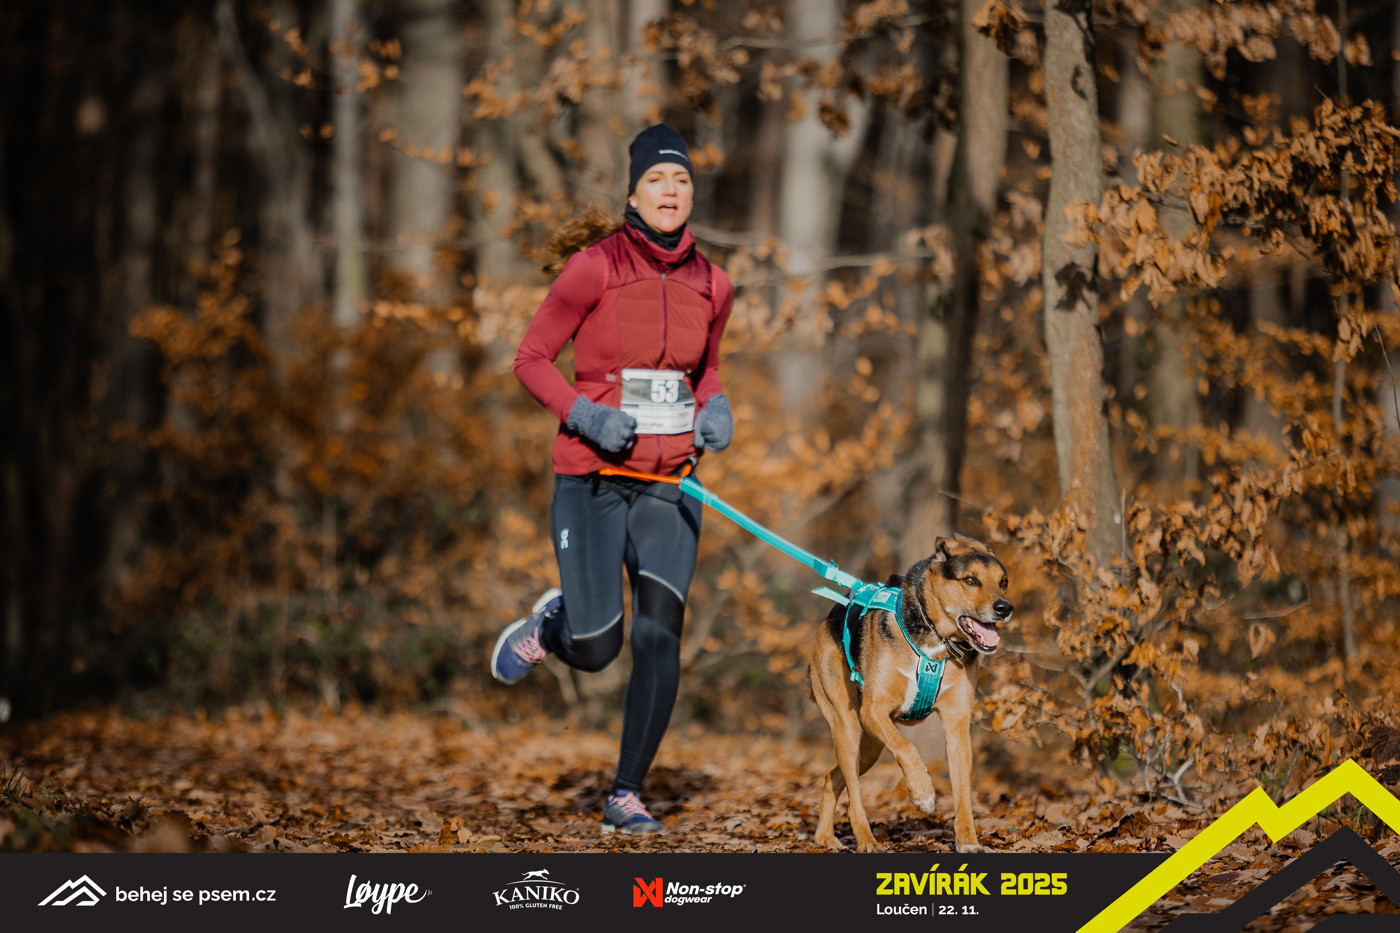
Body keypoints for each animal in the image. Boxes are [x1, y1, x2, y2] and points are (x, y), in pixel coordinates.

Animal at [808, 534, 1012, 853]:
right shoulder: (873, 711)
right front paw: (923, 793)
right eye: (970, 580)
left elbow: (963, 794)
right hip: (848, 727)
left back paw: (825, 837)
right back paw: (865, 839)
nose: (1005, 608)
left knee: (832, 777)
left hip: (870, 748)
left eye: (1003, 582)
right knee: (853, 796)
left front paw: (968, 841)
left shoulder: (957, 725)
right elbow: (906, 747)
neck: (937, 640)